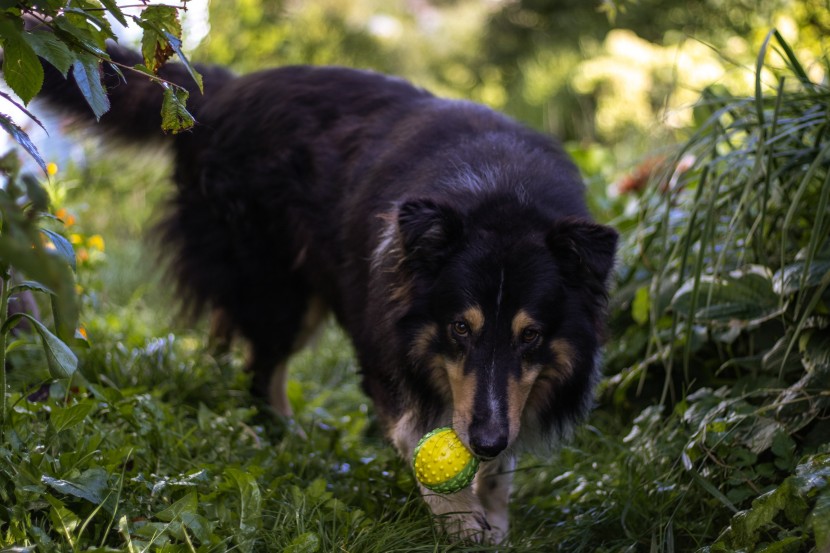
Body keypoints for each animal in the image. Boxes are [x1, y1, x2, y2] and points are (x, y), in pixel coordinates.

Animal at [30, 41, 616, 540]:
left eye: (531, 335)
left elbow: (501, 456)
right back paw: (289, 439)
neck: (501, 196)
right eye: (458, 328)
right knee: (260, 370)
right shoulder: (388, 341)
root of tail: (217, 90)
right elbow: (419, 437)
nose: (485, 441)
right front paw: (462, 524)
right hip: (275, 284)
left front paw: (493, 517)